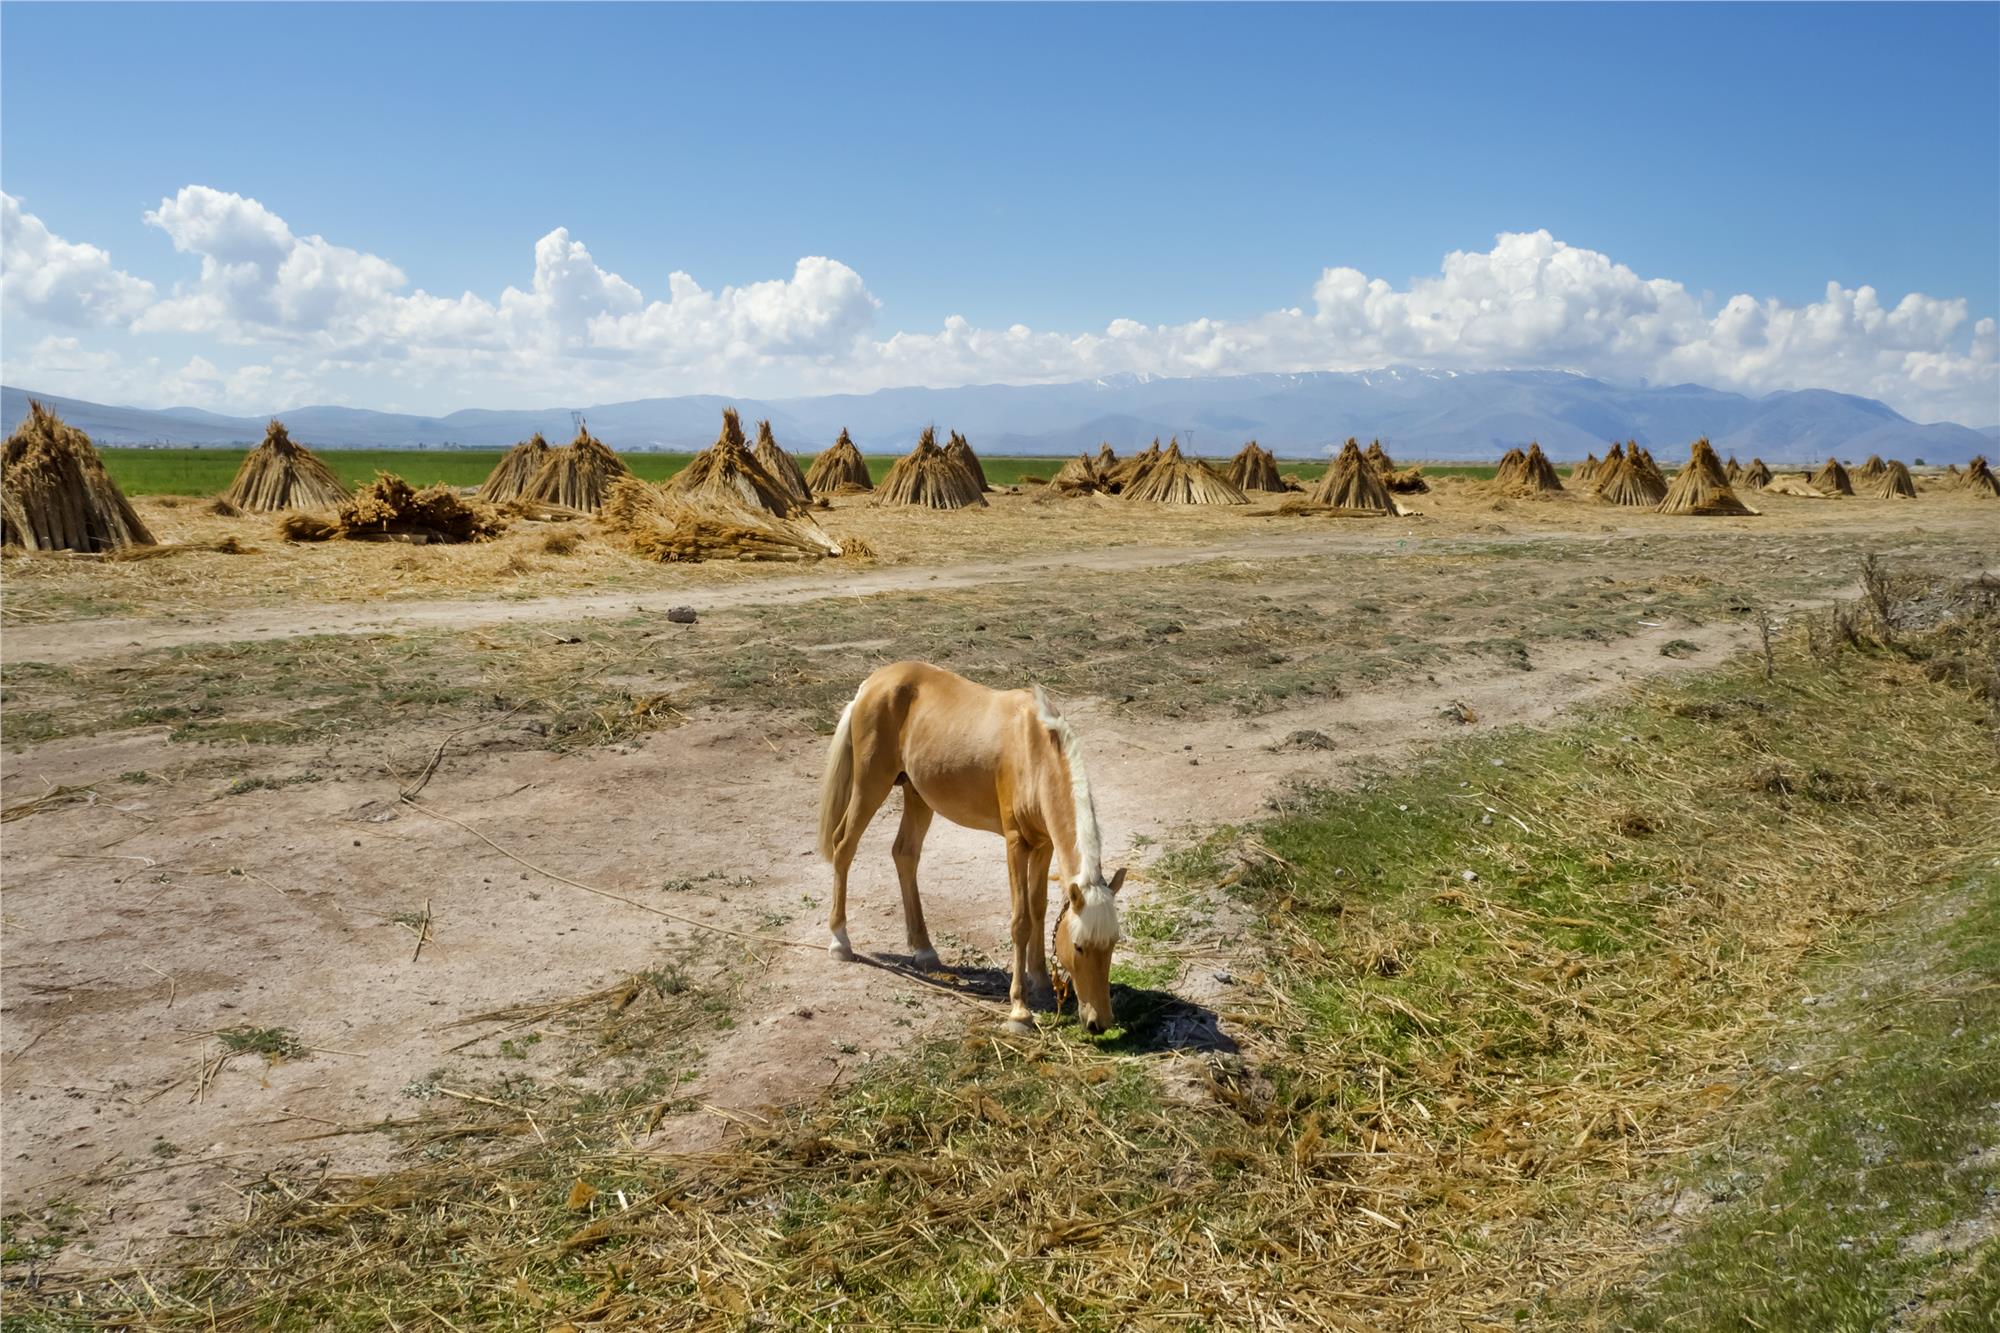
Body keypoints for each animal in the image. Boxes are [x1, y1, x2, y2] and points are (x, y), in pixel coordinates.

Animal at [812, 660, 1128, 1032]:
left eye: (1112, 944)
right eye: (1078, 947)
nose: (1099, 1022)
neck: (1034, 750)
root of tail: (870, 685)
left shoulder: (1043, 844)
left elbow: (1038, 908)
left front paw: (1038, 979)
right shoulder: (1016, 843)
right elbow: (1021, 920)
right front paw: (1019, 1010)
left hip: (916, 794)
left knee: (904, 854)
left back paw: (924, 950)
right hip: (870, 784)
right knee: (843, 847)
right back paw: (840, 941)